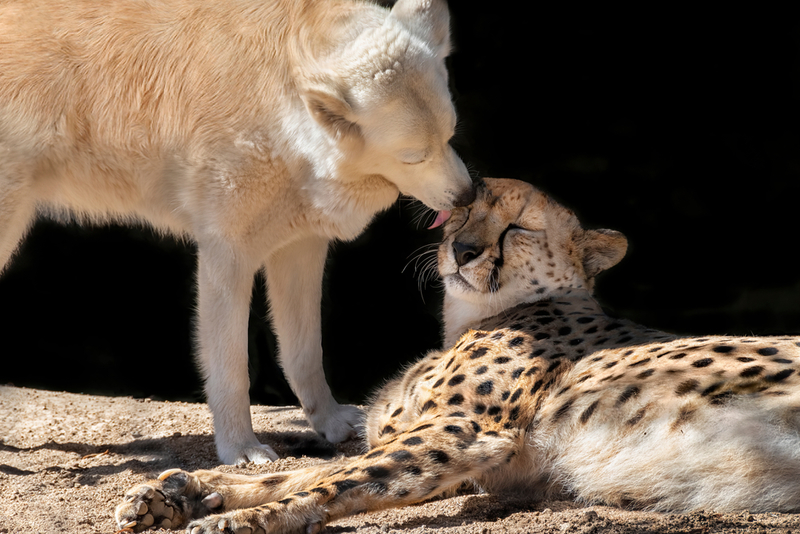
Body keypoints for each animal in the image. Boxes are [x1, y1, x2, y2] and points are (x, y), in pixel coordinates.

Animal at [0, 0, 476, 464]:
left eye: (451, 136)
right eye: (414, 156)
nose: (469, 195)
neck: (280, 109)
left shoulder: (300, 249)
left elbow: (304, 353)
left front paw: (329, 423)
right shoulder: (226, 255)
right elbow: (231, 368)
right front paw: (239, 449)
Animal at [115, 180, 800, 534]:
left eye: (520, 227)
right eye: (461, 212)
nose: (465, 250)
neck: (474, 316)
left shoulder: (466, 432)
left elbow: (333, 478)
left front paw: (232, 518)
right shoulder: (468, 455)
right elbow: (311, 472)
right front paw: (182, 491)